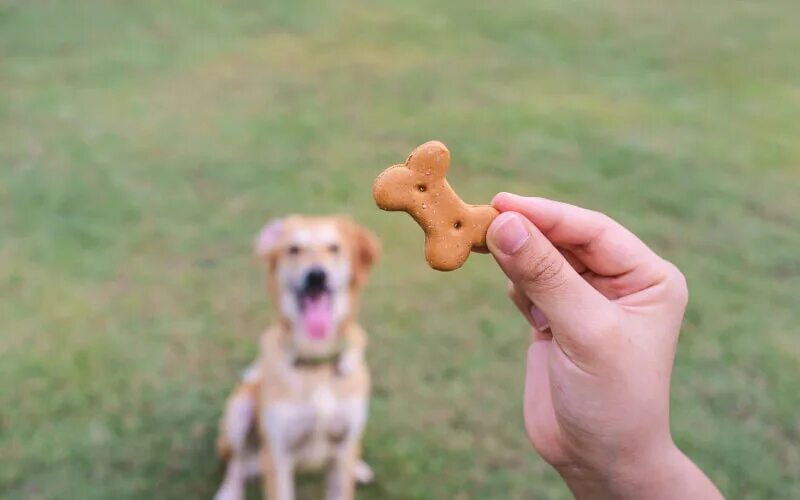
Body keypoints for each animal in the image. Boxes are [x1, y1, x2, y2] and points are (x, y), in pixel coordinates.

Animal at [216, 216, 382, 500]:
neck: (316, 361)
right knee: (236, 461)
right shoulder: (277, 454)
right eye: (293, 249)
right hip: (240, 410)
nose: (316, 276)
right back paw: (229, 491)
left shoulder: (344, 444)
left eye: (334, 248)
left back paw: (359, 468)